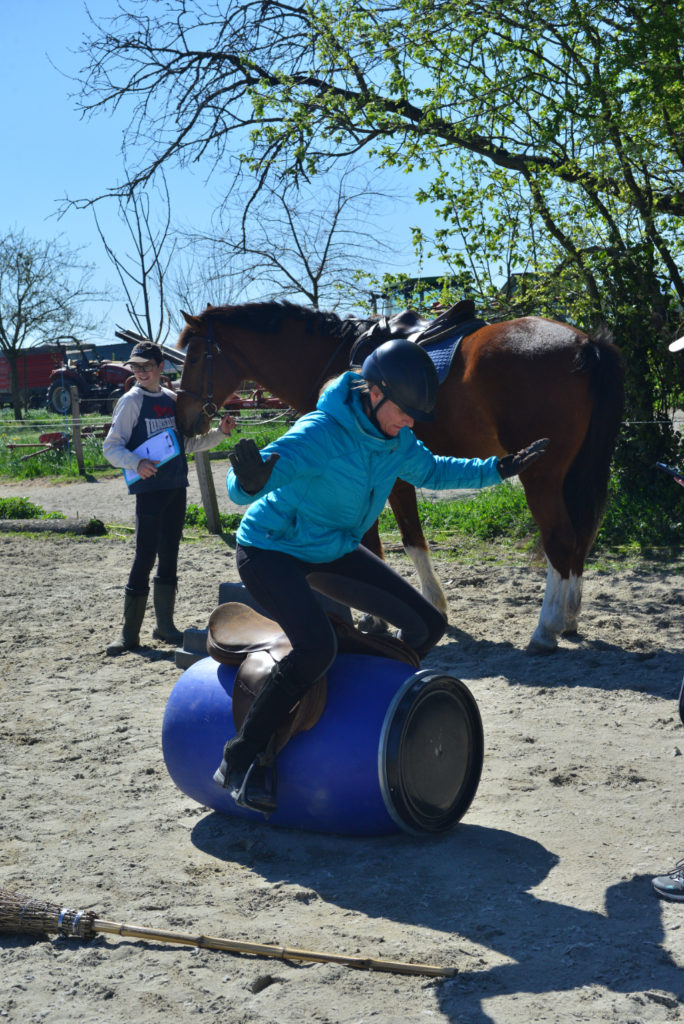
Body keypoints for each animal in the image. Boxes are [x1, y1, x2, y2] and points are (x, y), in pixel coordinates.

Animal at [175, 300, 623, 652]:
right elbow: (410, 540)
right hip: (570, 475)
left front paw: (381, 616)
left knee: (560, 540)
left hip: (542, 478)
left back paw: (545, 630)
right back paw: (569, 618)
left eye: (193, 358)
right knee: (581, 538)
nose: (182, 419)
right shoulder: (398, 472)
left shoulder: (387, 478)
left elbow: (388, 542)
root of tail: (585, 343)